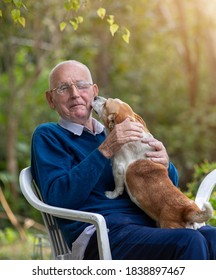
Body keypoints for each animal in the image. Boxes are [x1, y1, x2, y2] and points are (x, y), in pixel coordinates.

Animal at [91, 96, 213, 230]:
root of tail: (187, 210)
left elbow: (118, 188)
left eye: (105, 104)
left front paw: (111, 195)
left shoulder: (118, 168)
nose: (95, 97)